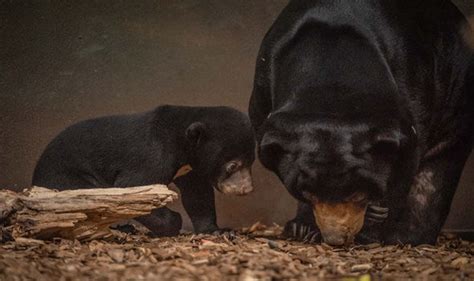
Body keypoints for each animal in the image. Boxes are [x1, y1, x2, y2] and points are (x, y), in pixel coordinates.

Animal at [250, 0, 472, 245]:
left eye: (358, 192)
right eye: (309, 192)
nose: (336, 238)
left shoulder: (411, 105)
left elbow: (403, 170)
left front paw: (374, 223)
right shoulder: (262, 102)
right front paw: (303, 228)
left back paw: (408, 236)